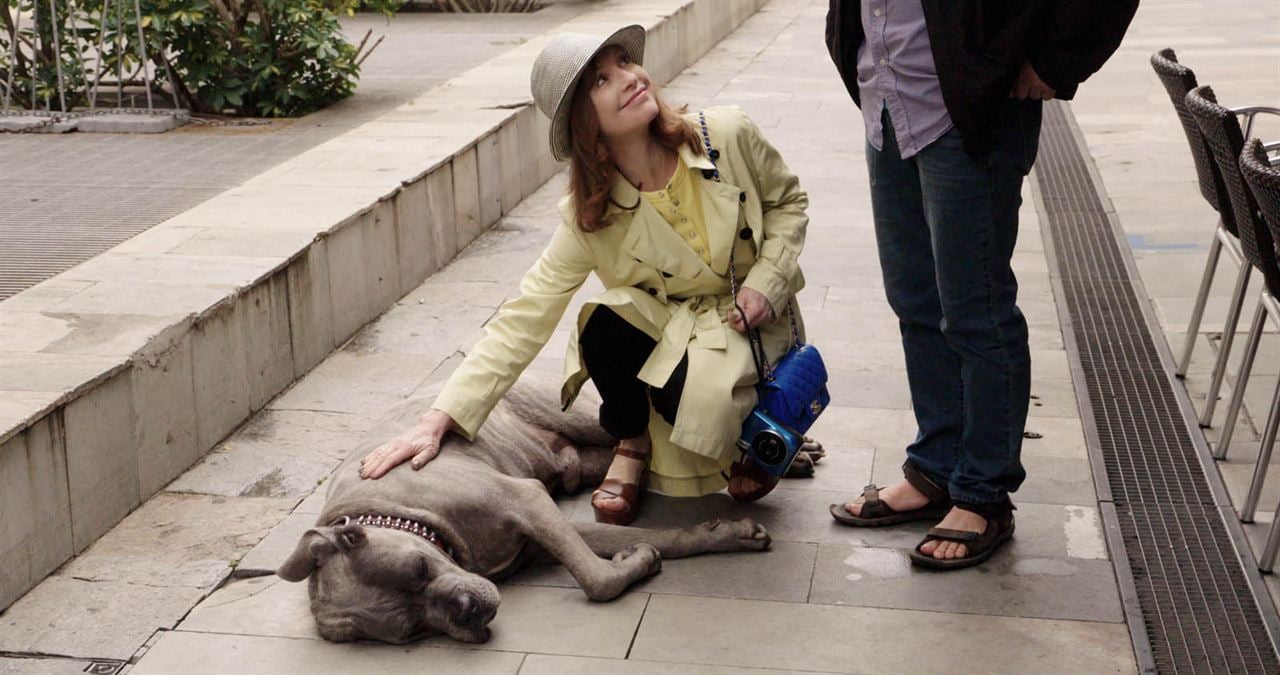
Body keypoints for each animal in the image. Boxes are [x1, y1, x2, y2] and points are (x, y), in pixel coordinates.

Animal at [275, 371, 824, 648]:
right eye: (412, 629)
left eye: (418, 569)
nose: (469, 610)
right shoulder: (542, 530)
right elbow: (633, 543)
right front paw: (674, 547)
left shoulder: (527, 500)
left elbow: (594, 579)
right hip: (582, 462)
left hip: (583, 419)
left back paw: (786, 455)